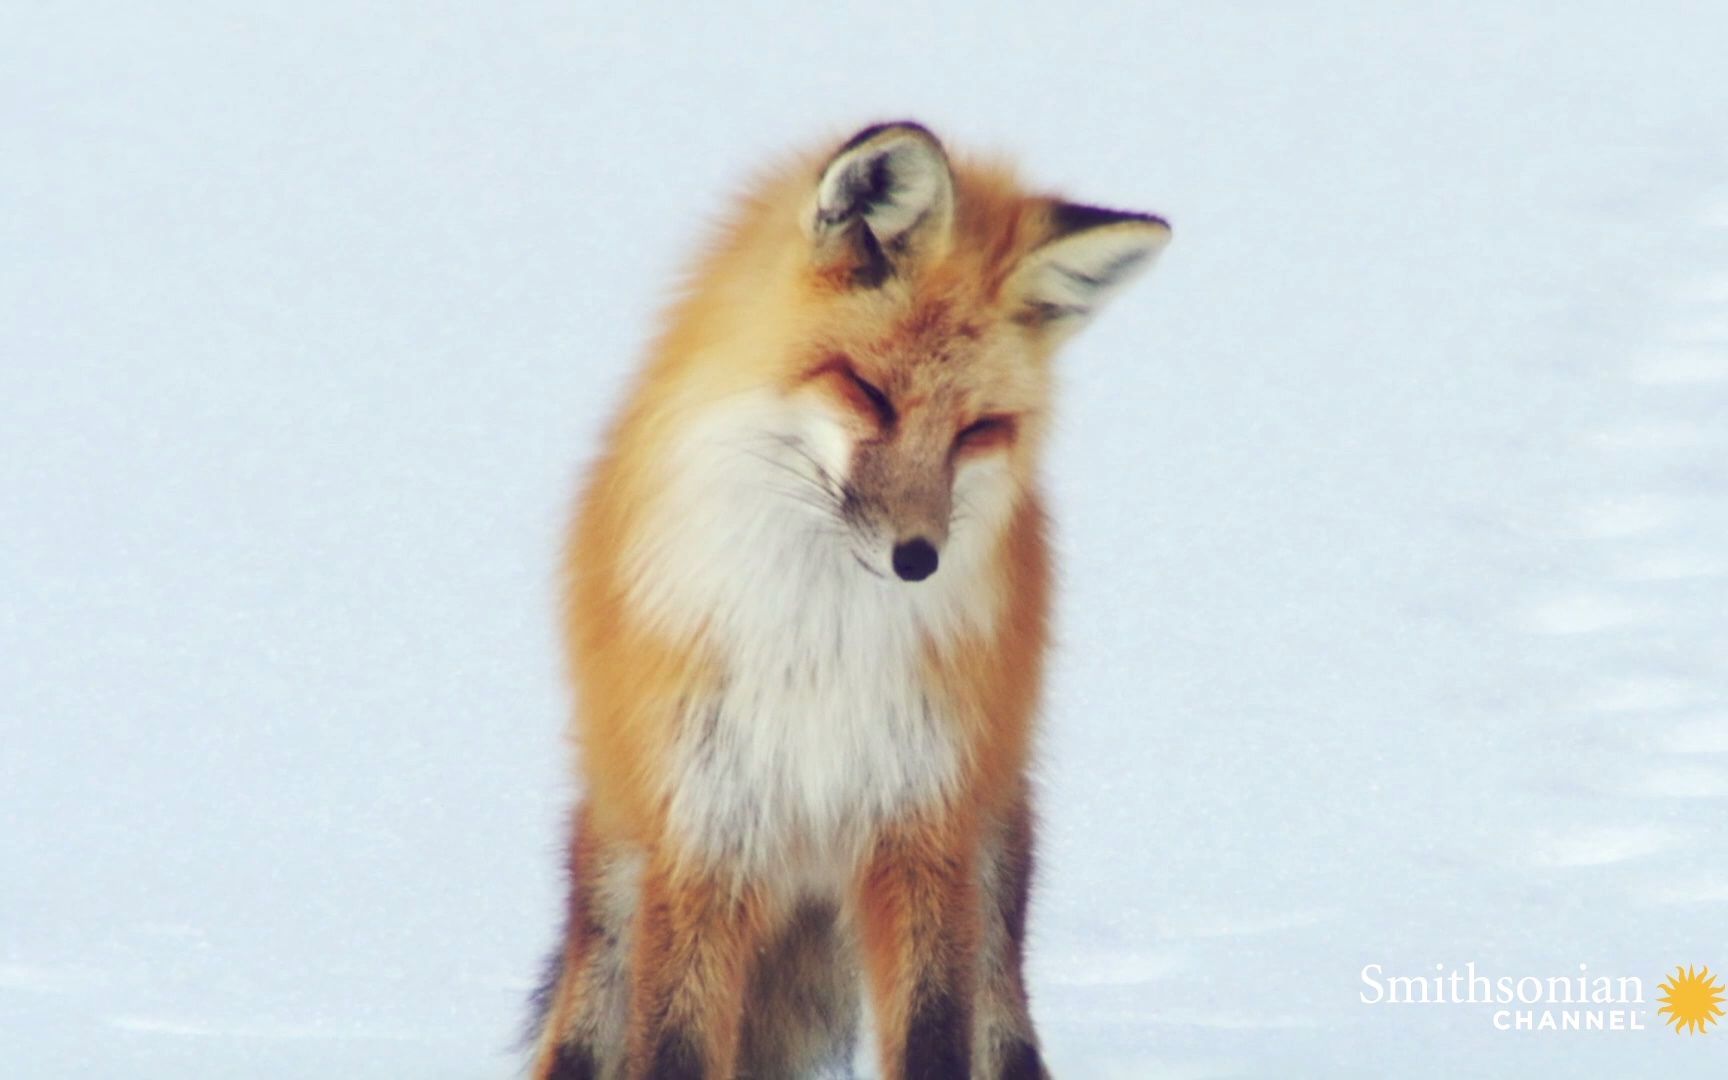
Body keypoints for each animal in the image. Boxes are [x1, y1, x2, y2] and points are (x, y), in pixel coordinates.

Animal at [532, 120, 1168, 1078]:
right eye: (869, 392)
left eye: (979, 430)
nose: (919, 559)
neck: (820, 644)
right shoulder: (708, 833)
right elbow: (678, 1047)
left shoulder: (921, 832)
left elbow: (933, 1041)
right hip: (616, 889)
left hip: (992, 875)